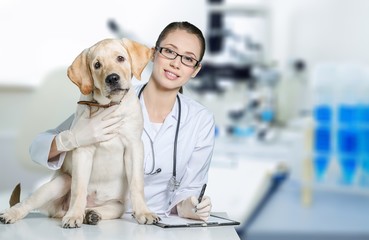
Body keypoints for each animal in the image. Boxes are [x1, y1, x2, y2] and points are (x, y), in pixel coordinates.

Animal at [1, 38, 160, 227]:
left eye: (120, 58)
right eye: (97, 65)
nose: (112, 78)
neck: (108, 107)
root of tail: (58, 211)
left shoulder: (134, 146)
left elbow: (137, 183)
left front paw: (144, 212)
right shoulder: (83, 151)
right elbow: (79, 187)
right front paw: (74, 216)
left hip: (118, 206)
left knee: (102, 208)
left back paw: (90, 214)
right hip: (60, 182)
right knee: (28, 202)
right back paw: (14, 213)